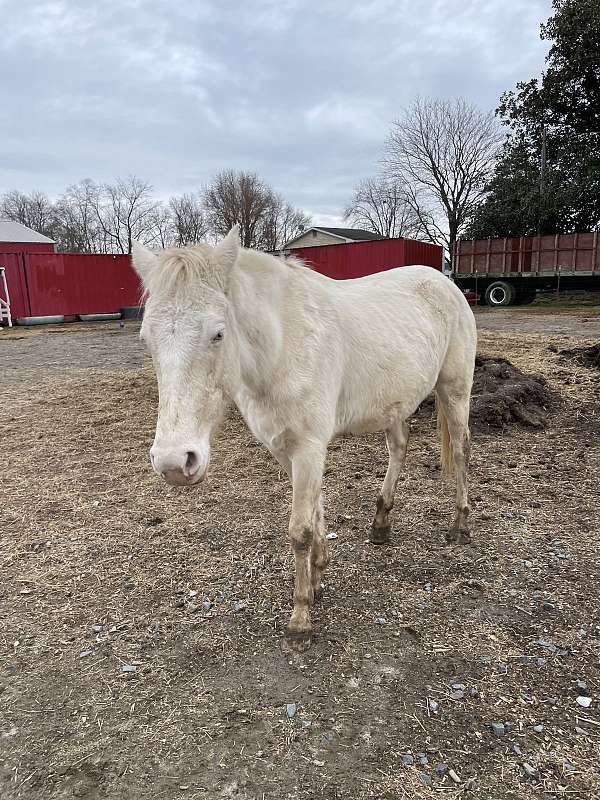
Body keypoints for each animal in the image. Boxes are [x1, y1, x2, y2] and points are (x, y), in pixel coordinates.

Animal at [132, 225, 478, 648]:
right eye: (147, 338)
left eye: (218, 334)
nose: (174, 462)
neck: (283, 344)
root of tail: (445, 284)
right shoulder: (288, 449)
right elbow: (314, 510)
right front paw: (317, 576)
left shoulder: (309, 448)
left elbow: (300, 529)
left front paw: (300, 617)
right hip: (395, 404)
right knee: (399, 447)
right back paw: (381, 523)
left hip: (454, 389)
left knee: (460, 450)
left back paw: (460, 525)